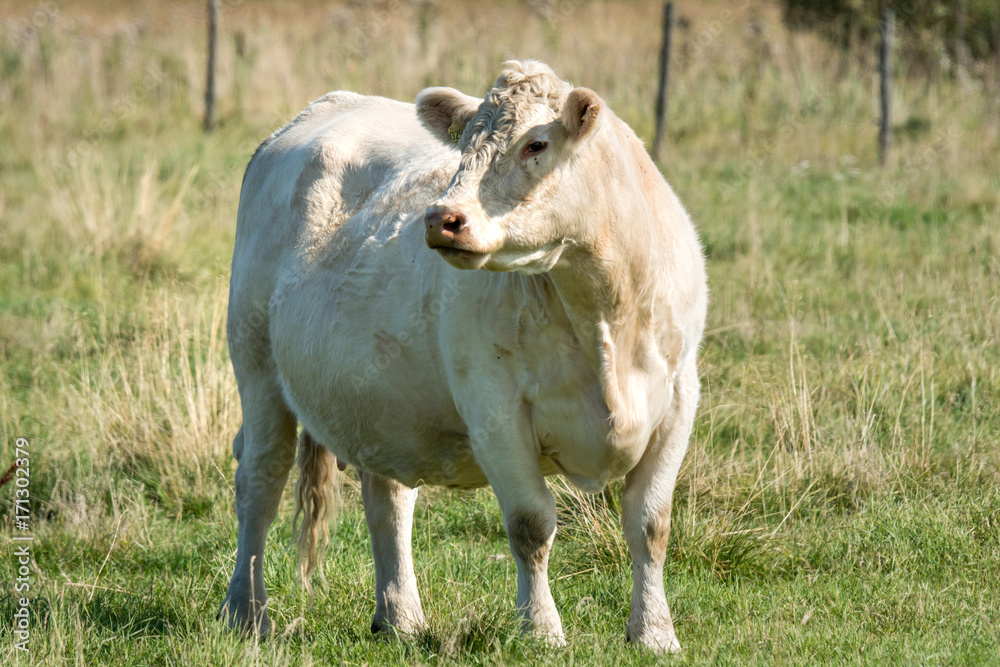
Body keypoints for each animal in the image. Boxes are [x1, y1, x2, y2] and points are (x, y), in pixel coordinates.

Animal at [219, 60, 707, 653]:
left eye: (536, 143)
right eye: (465, 143)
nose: (439, 218)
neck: (606, 315)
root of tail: (327, 106)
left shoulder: (679, 398)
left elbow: (651, 524)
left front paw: (655, 632)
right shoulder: (494, 408)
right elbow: (531, 524)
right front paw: (541, 630)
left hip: (380, 399)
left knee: (388, 501)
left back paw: (401, 618)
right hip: (256, 364)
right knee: (260, 480)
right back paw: (247, 611)